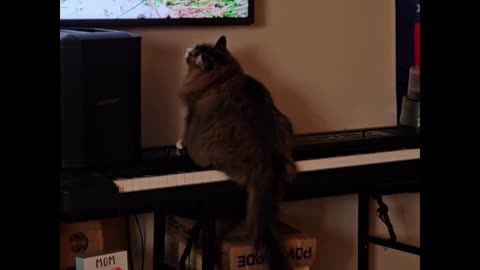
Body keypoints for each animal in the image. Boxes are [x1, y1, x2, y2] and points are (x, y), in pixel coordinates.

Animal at [178, 35, 296, 270]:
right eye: (196, 47)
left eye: (195, 53)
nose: (189, 48)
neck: (224, 74)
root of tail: (268, 156)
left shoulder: (191, 112)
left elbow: (185, 135)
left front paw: (180, 145)